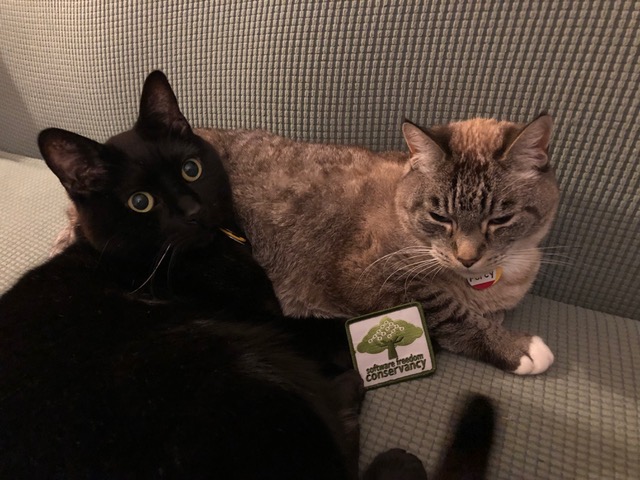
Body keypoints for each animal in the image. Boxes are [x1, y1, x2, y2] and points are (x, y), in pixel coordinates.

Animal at [55, 114, 556, 374]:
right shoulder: (376, 280)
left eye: (500, 219)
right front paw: (516, 348)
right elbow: (453, 315)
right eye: (440, 216)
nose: (468, 257)